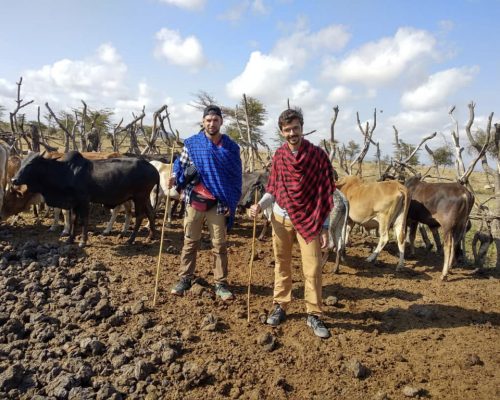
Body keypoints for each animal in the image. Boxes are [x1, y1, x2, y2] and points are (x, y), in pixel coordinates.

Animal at [11, 152, 159, 247]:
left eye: (31, 164)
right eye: (22, 162)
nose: (14, 179)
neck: (66, 172)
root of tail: (153, 168)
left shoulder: (84, 200)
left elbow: (84, 220)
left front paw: (83, 241)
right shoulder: (74, 202)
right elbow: (73, 220)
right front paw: (70, 239)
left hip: (139, 197)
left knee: (139, 216)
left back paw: (130, 240)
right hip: (144, 197)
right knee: (151, 213)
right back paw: (151, 236)